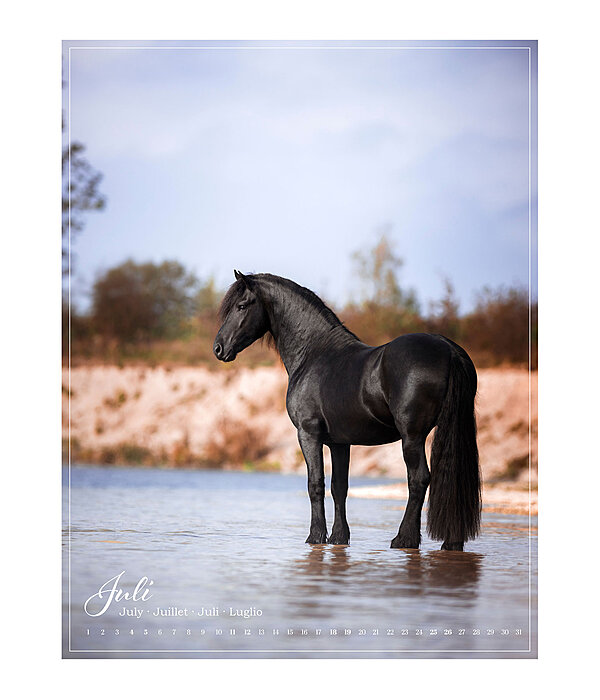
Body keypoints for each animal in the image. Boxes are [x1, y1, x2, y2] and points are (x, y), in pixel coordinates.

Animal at [213, 271, 481, 551]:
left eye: (242, 306)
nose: (218, 348)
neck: (314, 354)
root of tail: (447, 349)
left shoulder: (308, 434)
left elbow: (315, 484)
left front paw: (315, 536)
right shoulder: (340, 443)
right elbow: (339, 487)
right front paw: (339, 538)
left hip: (412, 436)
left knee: (418, 479)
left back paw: (404, 539)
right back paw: (451, 543)